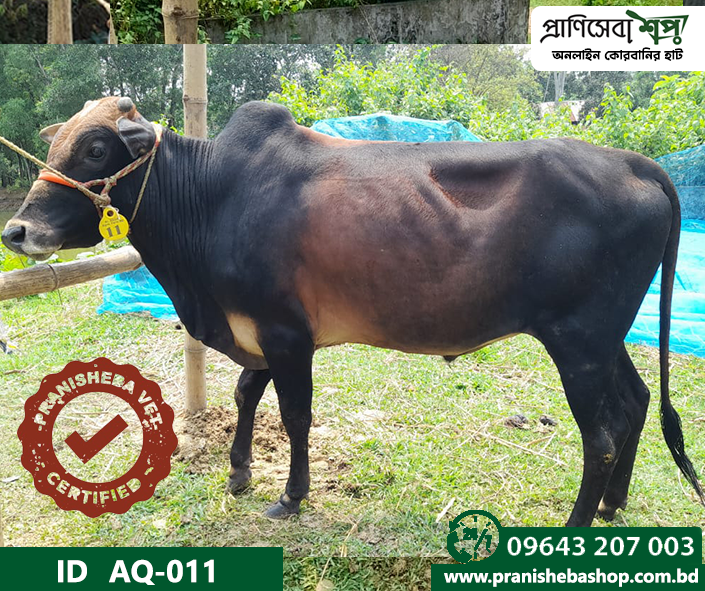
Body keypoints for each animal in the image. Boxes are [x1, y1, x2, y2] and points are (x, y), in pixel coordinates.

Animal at [2, 96, 703, 527]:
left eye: (96, 150)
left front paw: (290, 496)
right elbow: (245, 392)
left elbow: (293, 413)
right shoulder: (259, 330)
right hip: (604, 338)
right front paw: (238, 474)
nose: (17, 231)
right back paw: (612, 508)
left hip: (577, 341)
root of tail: (638, 165)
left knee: (602, 435)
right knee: (636, 404)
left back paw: (577, 525)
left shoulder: (286, 332)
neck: (212, 196)